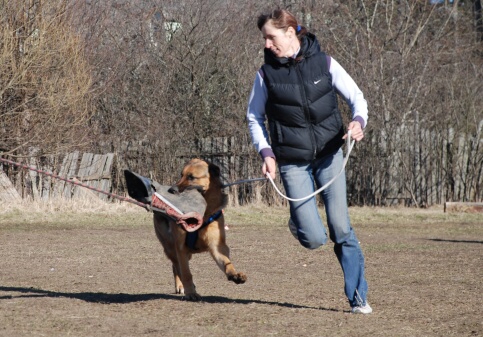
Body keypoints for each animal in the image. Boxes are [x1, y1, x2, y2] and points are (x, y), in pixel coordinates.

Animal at [153, 158, 248, 300]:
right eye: (181, 175)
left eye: (191, 177)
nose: (171, 190)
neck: (202, 213)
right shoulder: (180, 248)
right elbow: (186, 273)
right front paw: (191, 293)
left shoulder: (217, 246)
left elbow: (227, 263)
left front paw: (234, 275)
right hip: (170, 248)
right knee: (176, 266)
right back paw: (181, 286)